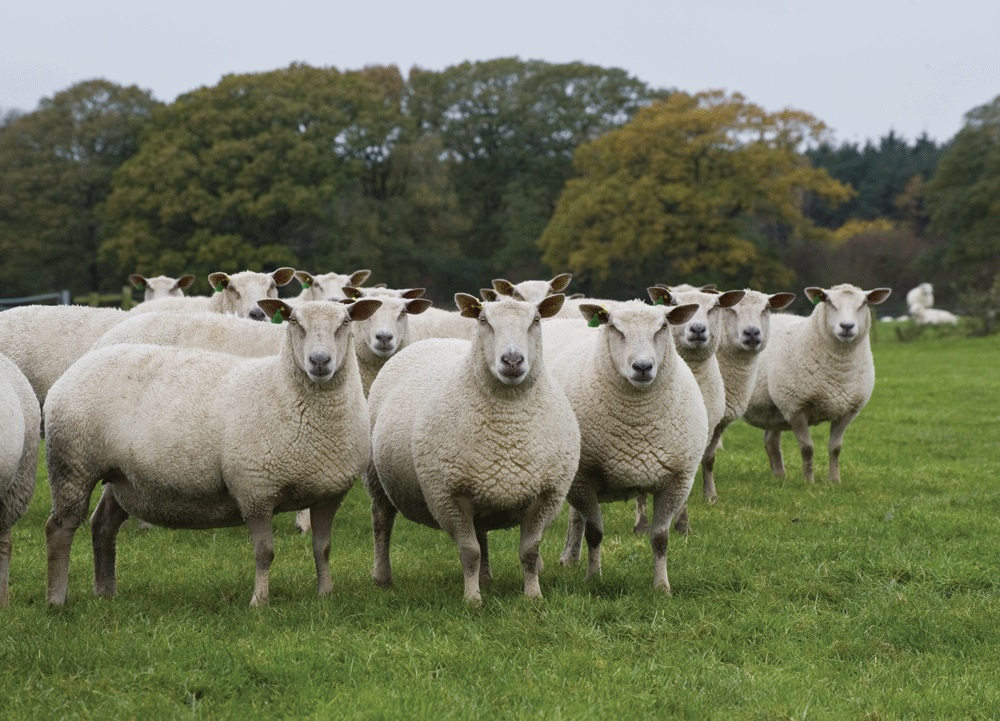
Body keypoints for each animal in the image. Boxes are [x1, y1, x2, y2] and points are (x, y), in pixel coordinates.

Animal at [43, 297, 382, 606]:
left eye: (345, 323)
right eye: (294, 321)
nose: (320, 361)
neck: (281, 389)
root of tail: (82, 362)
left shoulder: (329, 493)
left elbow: (322, 548)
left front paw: (326, 595)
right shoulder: (255, 489)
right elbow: (265, 553)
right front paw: (259, 602)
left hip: (121, 475)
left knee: (102, 525)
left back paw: (105, 591)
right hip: (73, 463)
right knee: (60, 528)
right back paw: (57, 600)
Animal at [364, 293, 580, 604]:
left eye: (536, 320)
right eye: (483, 320)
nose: (512, 360)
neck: (509, 421)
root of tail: (435, 340)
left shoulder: (546, 495)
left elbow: (529, 551)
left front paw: (533, 595)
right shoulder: (449, 494)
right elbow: (469, 551)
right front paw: (472, 600)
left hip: (481, 484)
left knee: (482, 531)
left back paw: (486, 579)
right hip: (377, 478)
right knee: (382, 521)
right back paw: (382, 577)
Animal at [544, 291, 705, 594]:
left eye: (663, 327)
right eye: (614, 328)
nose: (642, 367)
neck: (637, 423)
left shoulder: (676, 481)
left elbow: (660, 538)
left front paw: (662, 587)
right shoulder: (584, 478)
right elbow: (595, 533)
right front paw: (593, 578)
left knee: (575, 517)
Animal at [699, 288, 797, 503]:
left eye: (766, 308)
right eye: (731, 309)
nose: (752, 333)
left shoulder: (719, 419)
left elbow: (708, 458)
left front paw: (710, 496)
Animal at [742, 284, 891, 483]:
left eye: (864, 303)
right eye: (828, 301)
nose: (847, 326)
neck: (839, 372)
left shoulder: (847, 411)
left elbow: (835, 448)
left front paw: (835, 481)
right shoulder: (795, 408)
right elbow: (807, 448)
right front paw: (809, 482)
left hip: (774, 410)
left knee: (771, 441)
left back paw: (780, 477)